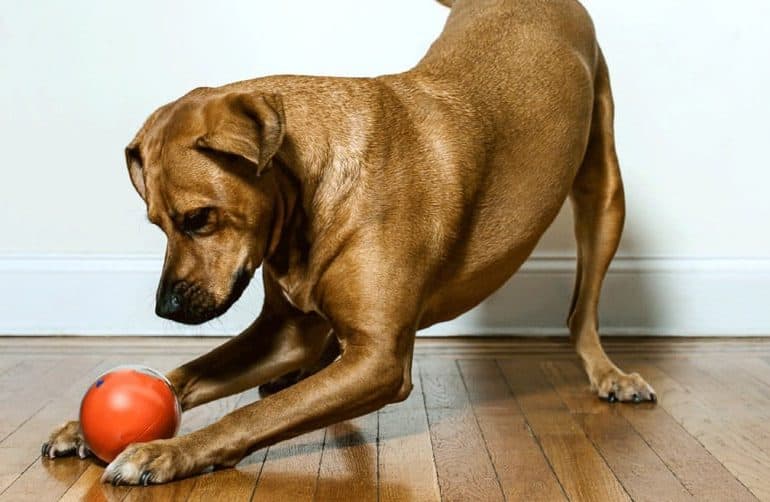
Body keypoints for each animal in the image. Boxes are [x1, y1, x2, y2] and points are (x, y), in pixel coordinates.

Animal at [42, 0, 656, 486]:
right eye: (156, 224)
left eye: (198, 218)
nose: (163, 310)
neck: (308, 198)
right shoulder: (284, 333)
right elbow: (187, 376)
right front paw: (85, 425)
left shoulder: (381, 361)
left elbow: (246, 417)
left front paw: (166, 452)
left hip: (604, 192)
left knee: (581, 310)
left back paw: (609, 374)